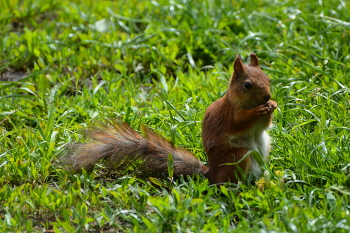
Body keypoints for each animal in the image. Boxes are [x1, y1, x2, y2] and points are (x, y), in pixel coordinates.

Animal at [62, 53, 276, 185]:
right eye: (247, 85)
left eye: (268, 79)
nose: (267, 96)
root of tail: (211, 173)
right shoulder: (229, 114)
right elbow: (241, 121)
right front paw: (258, 111)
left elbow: (264, 126)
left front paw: (273, 106)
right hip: (237, 156)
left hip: (264, 147)